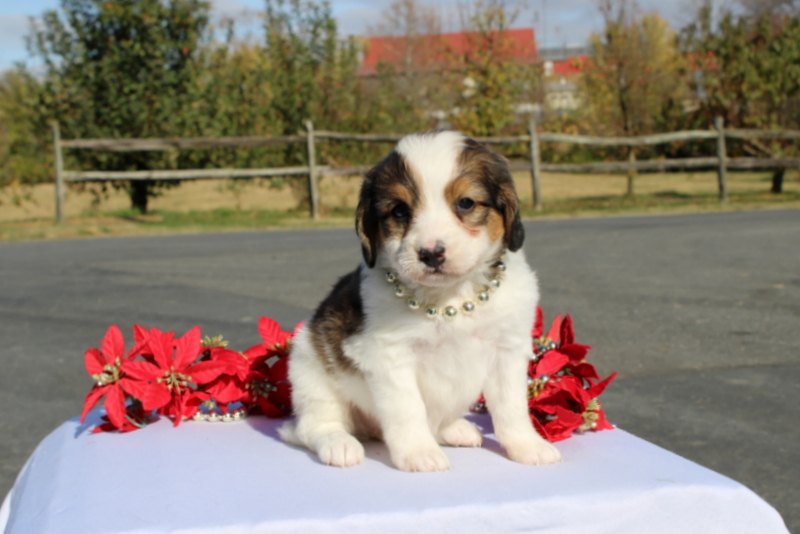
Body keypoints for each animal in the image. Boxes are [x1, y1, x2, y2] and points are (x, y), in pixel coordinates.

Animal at [282, 131, 564, 474]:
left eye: (465, 203)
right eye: (399, 211)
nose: (431, 253)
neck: (451, 298)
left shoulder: (507, 350)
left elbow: (511, 407)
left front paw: (527, 445)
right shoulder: (389, 355)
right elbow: (408, 408)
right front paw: (418, 452)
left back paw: (454, 429)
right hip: (310, 370)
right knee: (312, 427)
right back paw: (339, 444)